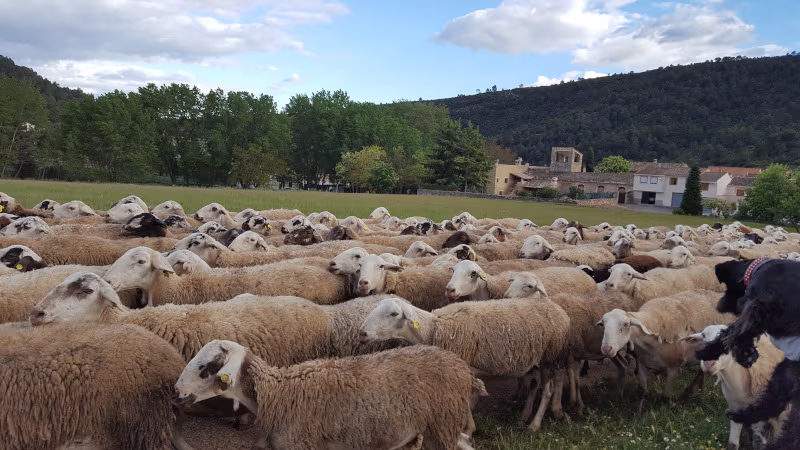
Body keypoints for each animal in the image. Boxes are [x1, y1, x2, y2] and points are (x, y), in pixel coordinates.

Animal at [176, 341, 484, 450]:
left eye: (209, 367)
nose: (176, 392)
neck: (278, 392)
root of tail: (462, 368)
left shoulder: (298, 445)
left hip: (441, 426)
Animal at [360, 296, 569, 432]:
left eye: (394, 313)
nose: (362, 333)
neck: (433, 328)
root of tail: (560, 311)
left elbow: (465, 400)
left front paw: (468, 429)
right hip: (532, 359)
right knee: (535, 385)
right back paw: (525, 415)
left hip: (549, 357)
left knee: (548, 390)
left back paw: (535, 425)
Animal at [599, 290, 735, 408]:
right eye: (603, 325)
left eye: (626, 325)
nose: (606, 348)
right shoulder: (642, 364)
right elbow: (641, 391)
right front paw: (637, 413)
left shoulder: (674, 368)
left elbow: (666, 396)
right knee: (702, 372)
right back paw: (700, 391)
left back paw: (688, 393)